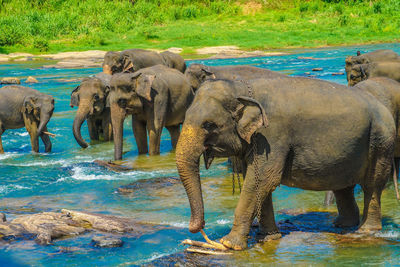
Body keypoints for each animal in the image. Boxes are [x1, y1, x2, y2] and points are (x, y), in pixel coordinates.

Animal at [177, 77, 396, 251]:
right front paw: (268, 238)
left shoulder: (272, 136)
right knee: (343, 187)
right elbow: (258, 180)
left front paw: (228, 244)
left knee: (372, 186)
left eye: (209, 125)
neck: (242, 86)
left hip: (380, 140)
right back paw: (342, 225)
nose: (198, 227)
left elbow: (262, 181)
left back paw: (365, 230)